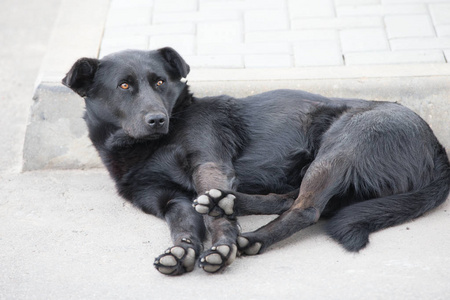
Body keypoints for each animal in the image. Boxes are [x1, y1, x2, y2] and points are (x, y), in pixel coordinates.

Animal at [62, 48, 450, 276]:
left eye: (159, 82)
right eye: (124, 86)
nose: (157, 119)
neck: (149, 148)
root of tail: (438, 149)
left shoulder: (209, 162)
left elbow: (215, 222)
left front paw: (222, 247)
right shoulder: (167, 199)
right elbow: (184, 226)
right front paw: (181, 250)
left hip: (343, 144)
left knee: (306, 208)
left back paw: (250, 233)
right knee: (290, 199)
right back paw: (227, 202)